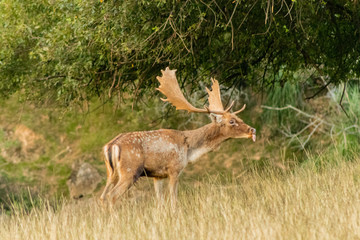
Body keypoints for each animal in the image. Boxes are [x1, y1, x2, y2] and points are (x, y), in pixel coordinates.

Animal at [100, 67, 255, 206]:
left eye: (238, 117)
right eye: (232, 121)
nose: (252, 130)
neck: (189, 150)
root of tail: (111, 145)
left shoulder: (158, 175)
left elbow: (160, 202)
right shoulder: (174, 168)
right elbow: (174, 200)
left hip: (111, 173)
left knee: (103, 196)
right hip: (130, 170)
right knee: (112, 195)